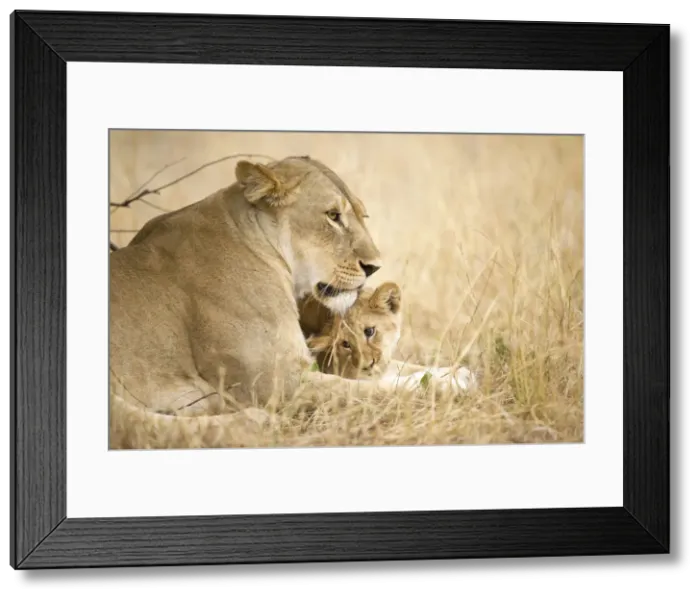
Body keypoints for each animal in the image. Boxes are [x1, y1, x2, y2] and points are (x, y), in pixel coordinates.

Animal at [109, 155, 398, 448]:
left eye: (363, 215)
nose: (374, 267)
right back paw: (255, 419)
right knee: (140, 426)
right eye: (333, 216)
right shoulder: (279, 383)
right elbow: (371, 390)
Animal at [298, 281, 477, 393]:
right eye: (345, 344)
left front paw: (459, 372)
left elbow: (407, 366)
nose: (366, 365)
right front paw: (441, 384)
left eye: (369, 331)